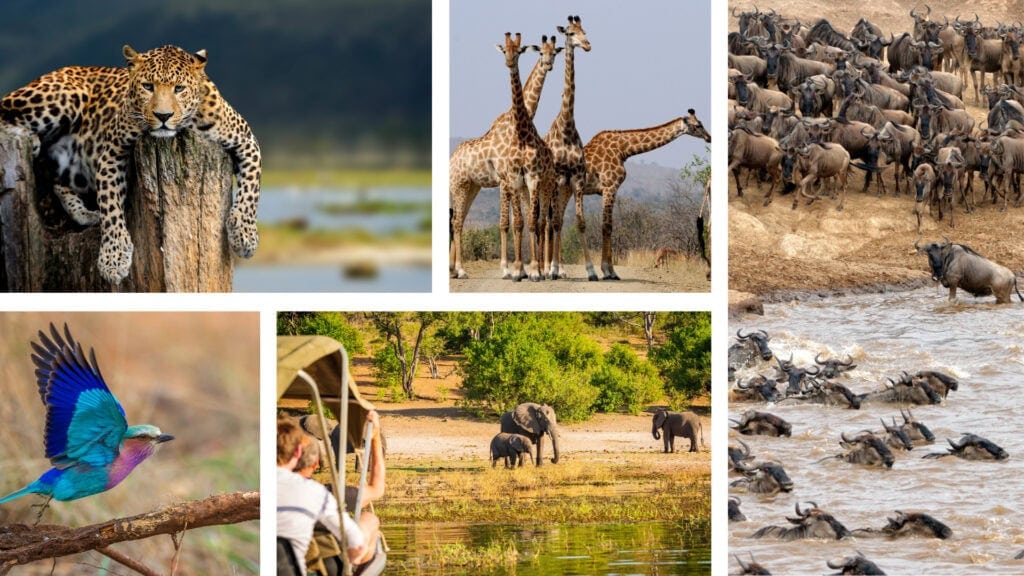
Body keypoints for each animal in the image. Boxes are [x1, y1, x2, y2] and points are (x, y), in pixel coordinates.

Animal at [0, 44, 262, 284]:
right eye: (148, 86)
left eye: (179, 89)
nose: (163, 116)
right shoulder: (111, 152)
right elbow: (110, 206)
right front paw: (113, 259)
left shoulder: (246, 140)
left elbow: (251, 189)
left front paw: (244, 236)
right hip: (62, 96)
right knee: (5, 113)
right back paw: (29, 137)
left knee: (58, 181)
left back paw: (86, 213)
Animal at [448, 34, 561, 278]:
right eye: (541, 53)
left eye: (554, 53)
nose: (548, 65)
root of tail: (451, 160)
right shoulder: (504, 179)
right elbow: (505, 222)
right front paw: (508, 269)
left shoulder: (512, 180)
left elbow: (516, 220)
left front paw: (521, 268)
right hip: (459, 185)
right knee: (457, 221)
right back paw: (460, 270)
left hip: (472, 187)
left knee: (458, 218)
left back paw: (453, 269)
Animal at [569, 110, 712, 280]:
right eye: (698, 125)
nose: (709, 137)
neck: (623, 150)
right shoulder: (610, 187)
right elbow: (607, 226)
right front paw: (608, 271)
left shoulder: (608, 189)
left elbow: (609, 226)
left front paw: (610, 271)